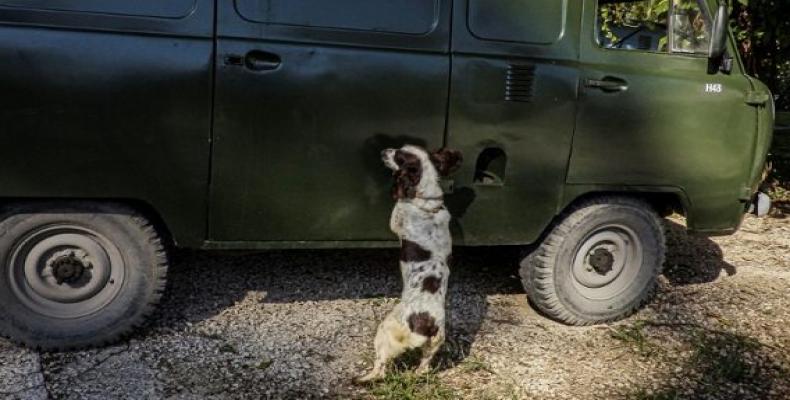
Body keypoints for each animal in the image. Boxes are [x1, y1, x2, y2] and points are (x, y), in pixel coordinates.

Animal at [358, 145, 464, 382]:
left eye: (399, 156)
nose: (384, 150)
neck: (427, 202)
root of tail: (425, 326)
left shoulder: (397, 216)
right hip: (434, 343)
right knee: (423, 366)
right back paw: (415, 375)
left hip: (385, 331)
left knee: (381, 368)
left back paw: (364, 378)